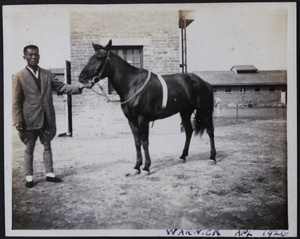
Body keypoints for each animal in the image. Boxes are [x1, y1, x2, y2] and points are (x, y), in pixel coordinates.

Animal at [79, 39, 216, 174]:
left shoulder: (142, 119)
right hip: (185, 112)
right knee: (189, 131)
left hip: (204, 110)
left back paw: (212, 157)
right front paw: (137, 166)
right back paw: (183, 156)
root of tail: (204, 82)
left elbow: (145, 142)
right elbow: (137, 142)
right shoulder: (131, 120)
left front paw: (146, 167)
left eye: (100, 57)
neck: (133, 85)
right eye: (91, 57)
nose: (82, 76)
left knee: (210, 130)